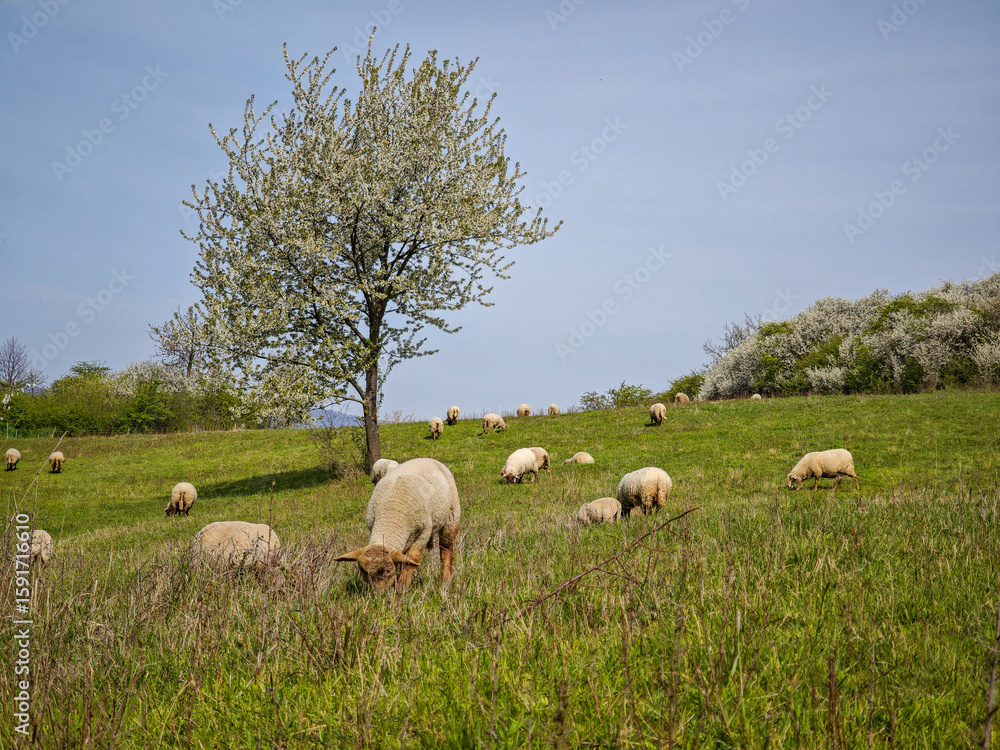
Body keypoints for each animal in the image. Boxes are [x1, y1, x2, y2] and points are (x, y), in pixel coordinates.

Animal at [335, 457, 461, 592]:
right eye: (363, 571)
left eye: (388, 570)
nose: (379, 595)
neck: (391, 517)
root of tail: (426, 459)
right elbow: (401, 559)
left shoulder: (423, 533)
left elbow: (410, 560)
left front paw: (402, 588)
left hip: (451, 518)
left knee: (446, 549)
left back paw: (446, 581)